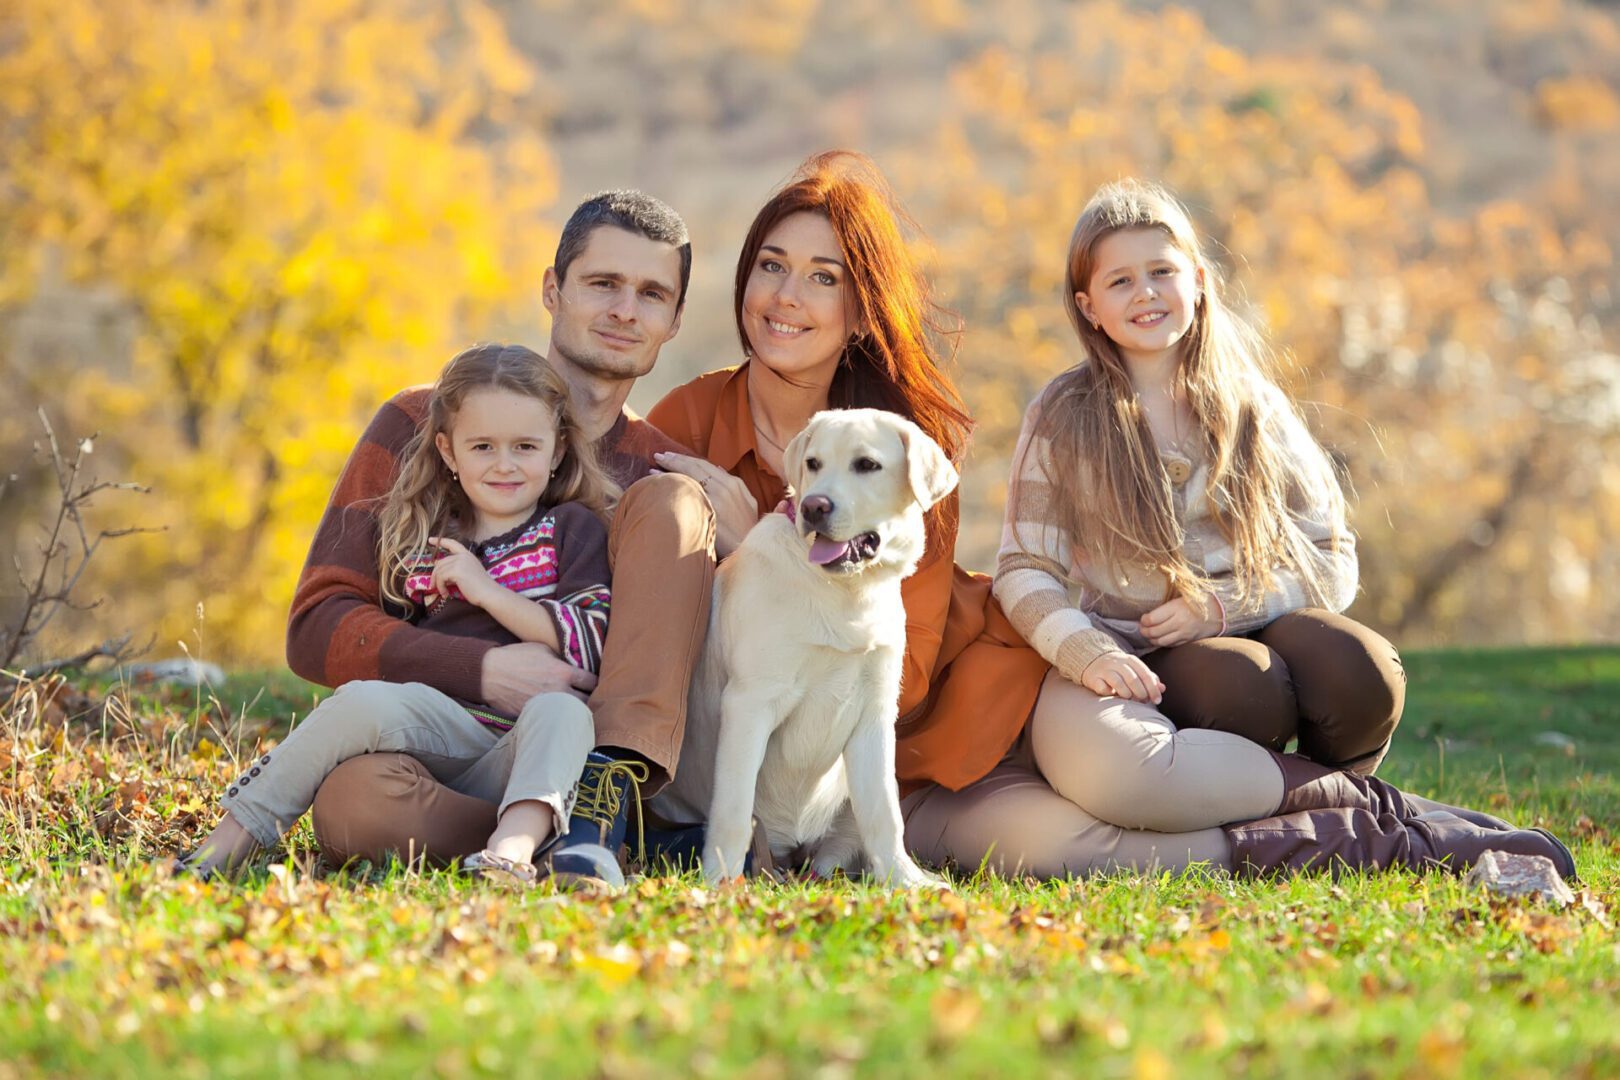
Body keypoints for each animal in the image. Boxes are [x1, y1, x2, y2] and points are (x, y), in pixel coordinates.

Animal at [654, 404, 959, 887]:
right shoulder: (750, 702)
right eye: (813, 463)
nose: (815, 506)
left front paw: (905, 881)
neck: (846, 592)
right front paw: (720, 883)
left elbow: (884, 814)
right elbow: (734, 810)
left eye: (867, 465)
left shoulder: (876, 711)